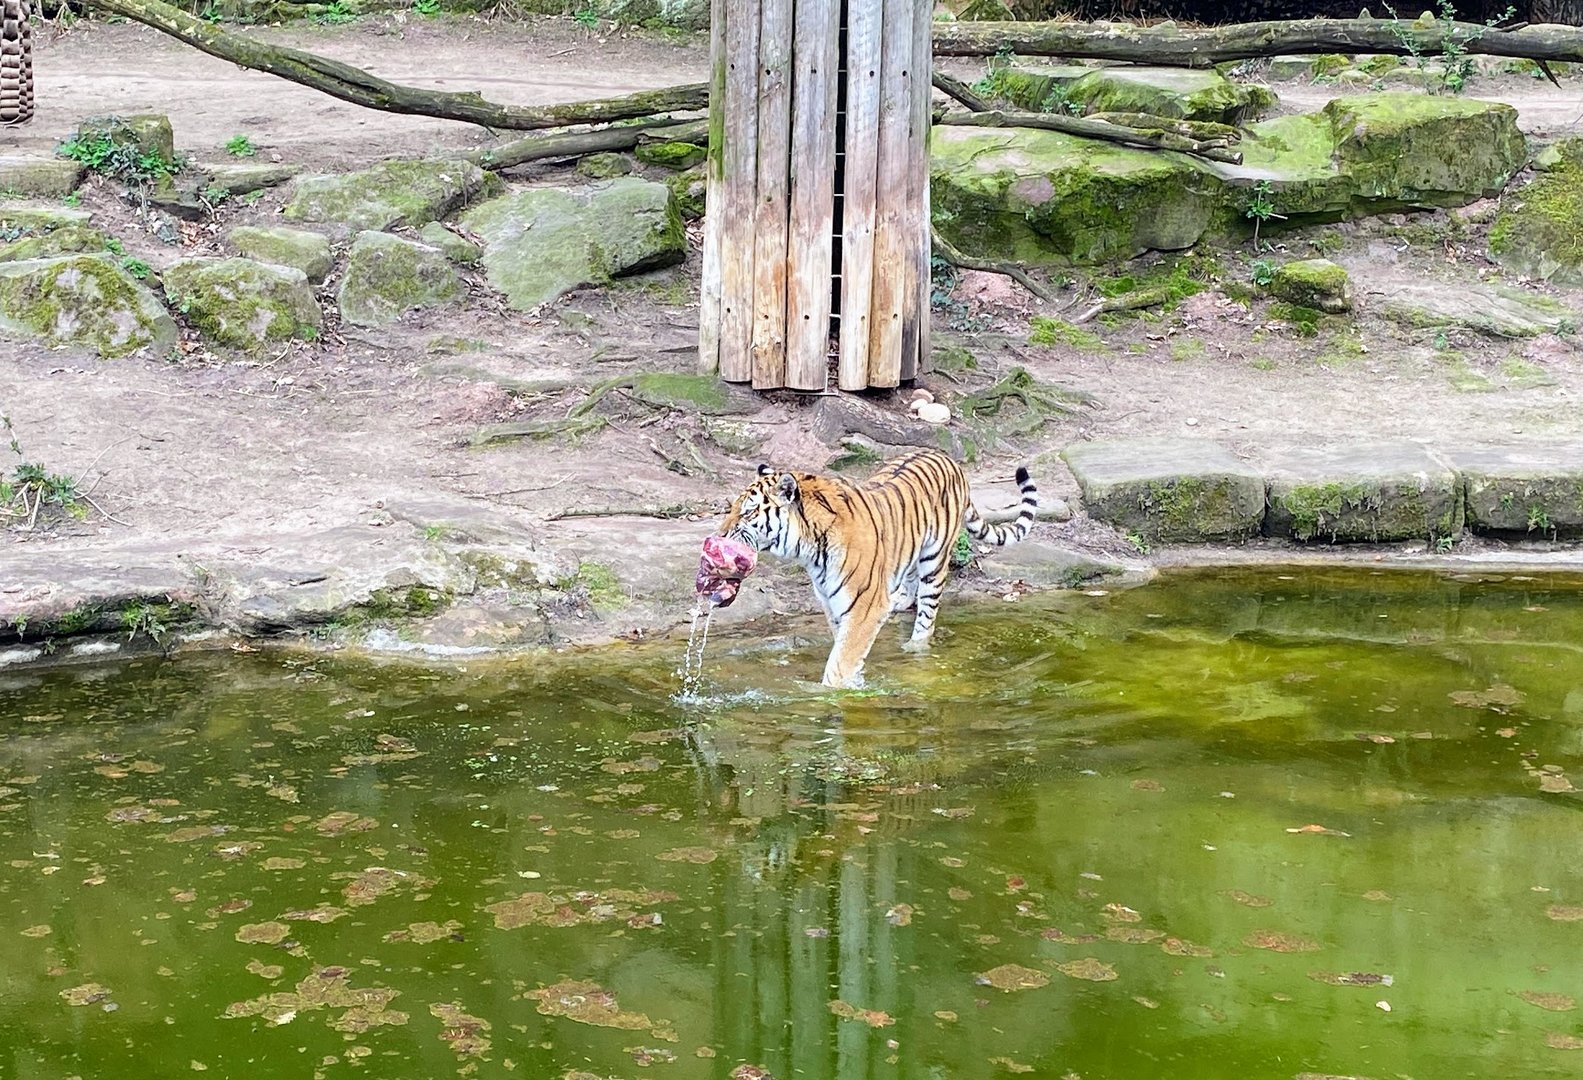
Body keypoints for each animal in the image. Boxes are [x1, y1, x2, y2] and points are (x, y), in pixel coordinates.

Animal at [714, 448, 1039, 688]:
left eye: (747, 513)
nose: (720, 533)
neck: (809, 547)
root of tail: (949, 459)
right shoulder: (833, 603)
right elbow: (844, 647)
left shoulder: (863, 606)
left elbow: (842, 659)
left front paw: (833, 693)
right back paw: (899, 601)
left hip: (935, 560)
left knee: (927, 615)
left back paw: (915, 647)